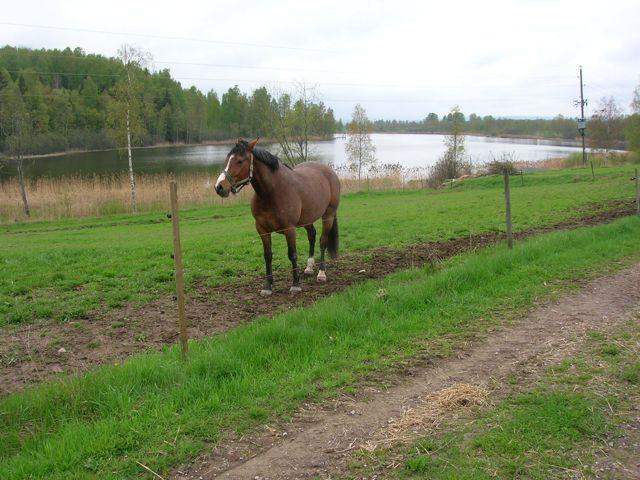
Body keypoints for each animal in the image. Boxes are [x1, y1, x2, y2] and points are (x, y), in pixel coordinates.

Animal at [215, 138, 342, 296]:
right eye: (227, 159)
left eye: (239, 161)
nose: (219, 187)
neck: (272, 192)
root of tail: (329, 172)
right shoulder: (262, 230)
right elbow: (267, 255)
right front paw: (268, 285)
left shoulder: (289, 229)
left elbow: (292, 254)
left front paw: (295, 284)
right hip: (307, 219)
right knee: (312, 235)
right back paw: (309, 267)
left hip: (328, 215)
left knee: (322, 241)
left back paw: (321, 273)